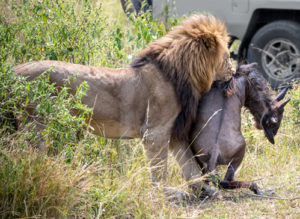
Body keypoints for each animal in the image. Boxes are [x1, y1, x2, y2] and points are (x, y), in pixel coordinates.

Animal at [14, 15, 233, 193]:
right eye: (227, 57)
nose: (233, 72)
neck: (182, 76)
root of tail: (12, 71)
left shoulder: (174, 132)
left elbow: (189, 165)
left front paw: (205, 189)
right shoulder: (155, 131)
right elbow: (160, 168)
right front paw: (165, 193)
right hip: (35, 125)